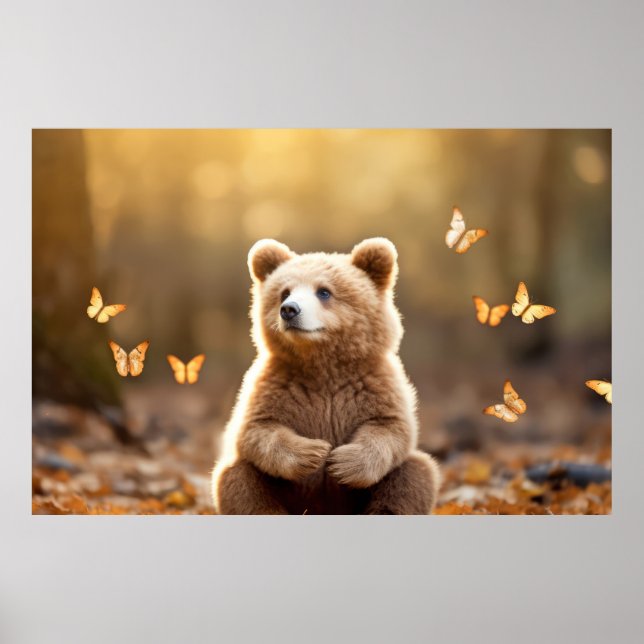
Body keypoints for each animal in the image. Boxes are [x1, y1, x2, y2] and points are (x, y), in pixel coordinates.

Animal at [211, 237, 441, 514]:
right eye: (284, 292)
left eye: (323, 291)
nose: (289, 310)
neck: (323, 365)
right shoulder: (274, 385)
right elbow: (256, 428)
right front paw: (314, 452)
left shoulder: (375, 385)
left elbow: (391, 428)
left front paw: (341, 461)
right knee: (237, 477)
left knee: (415, 473)